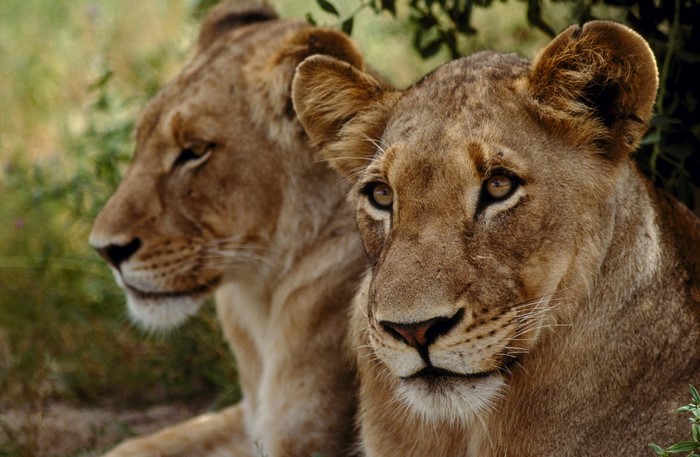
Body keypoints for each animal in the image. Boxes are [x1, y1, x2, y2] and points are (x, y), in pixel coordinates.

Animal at [88, 1, 369, 455]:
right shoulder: (250, 418)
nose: (104, 250)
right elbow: (140, 444)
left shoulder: (309, 436)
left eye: (195, 151)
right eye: (139, 140)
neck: (259, 301)